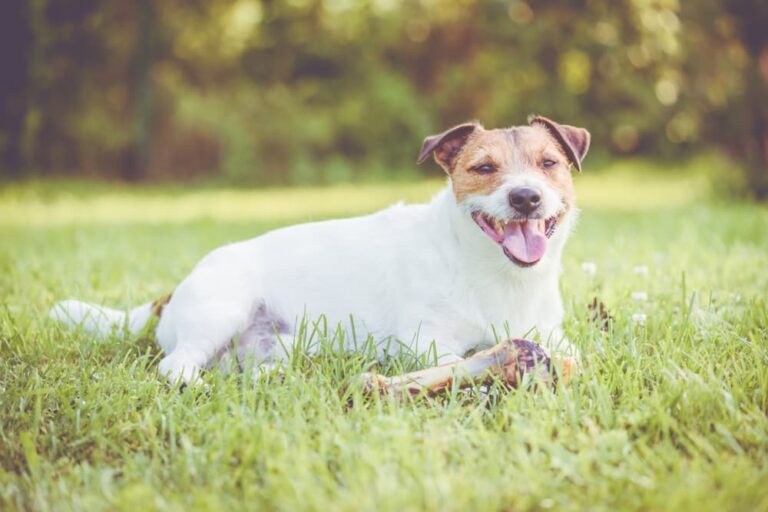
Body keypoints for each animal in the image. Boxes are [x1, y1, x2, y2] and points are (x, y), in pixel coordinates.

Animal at [51, 116, 592, 384]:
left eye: (548, 163)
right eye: (483, 168)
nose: (526, 197)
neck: (498, 276)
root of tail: (172, 295)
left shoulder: (551, 332)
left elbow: (571, 350)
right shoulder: (426, 342)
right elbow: (468, 355)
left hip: (272, 343)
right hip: (220, 309)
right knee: (175, 365)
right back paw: (197, 384)